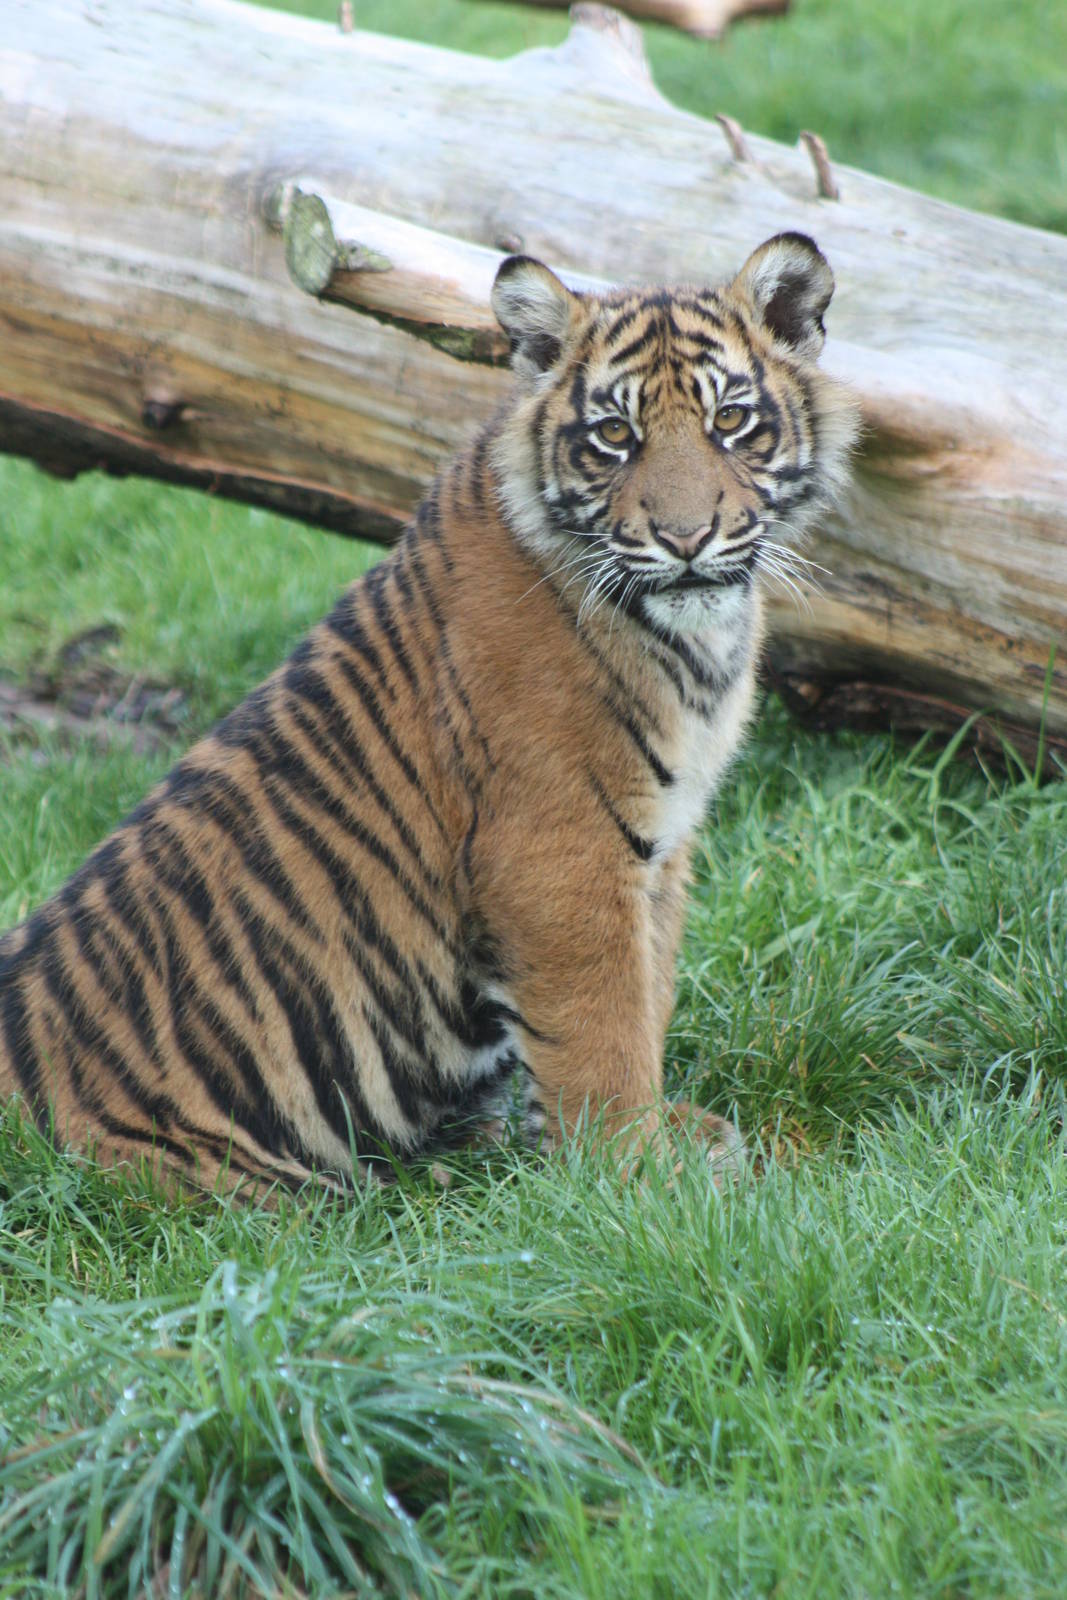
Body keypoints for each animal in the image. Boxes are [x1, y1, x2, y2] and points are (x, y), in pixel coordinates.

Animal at [0, 232, 858, 1197]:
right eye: (614, 435)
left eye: (731, 423)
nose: (685, 539)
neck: (692, 642)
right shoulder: (558, 852)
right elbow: (603, 1026)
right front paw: (633, 1175)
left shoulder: (664, 847)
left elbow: (651, 990)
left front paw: (664, 1142)